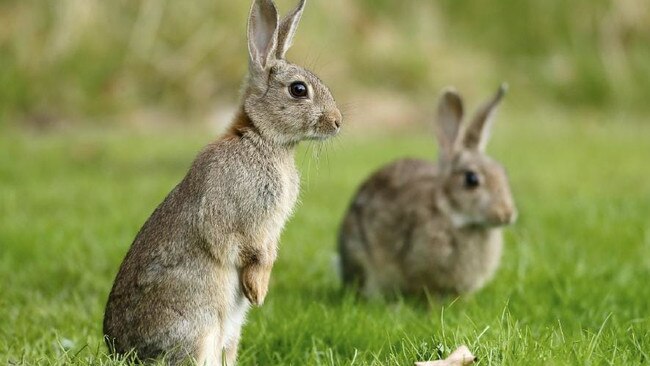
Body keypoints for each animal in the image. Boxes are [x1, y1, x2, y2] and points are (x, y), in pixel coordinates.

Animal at [102, 0, 340, 364]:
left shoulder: (269, 230)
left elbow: (268, 251)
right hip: (200, 328)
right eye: (298, 89)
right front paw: (257, 291)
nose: (338, 122)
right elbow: (245, 249)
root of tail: (122, 351)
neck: (261, 138)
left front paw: (258, 293)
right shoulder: (232, 218)